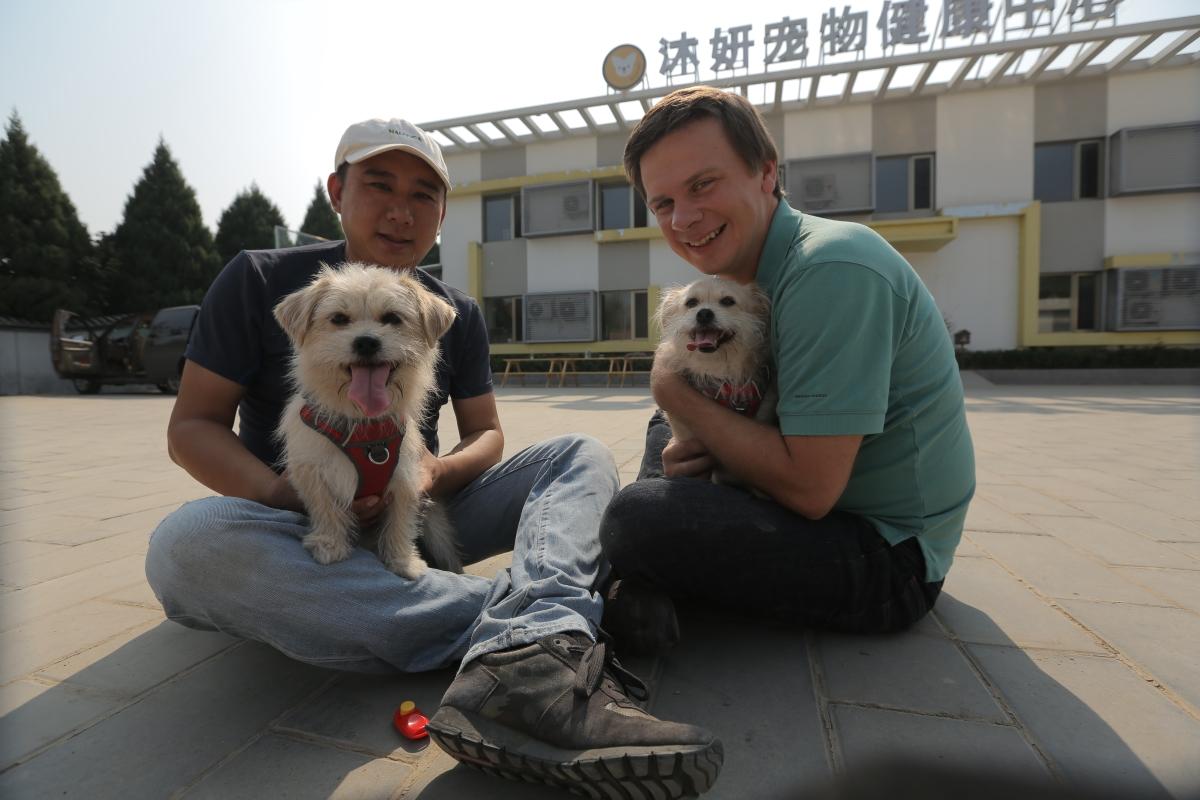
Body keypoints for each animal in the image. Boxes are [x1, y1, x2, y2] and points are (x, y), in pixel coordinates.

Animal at [274, 266, 460, 578]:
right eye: (339, 319)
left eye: (392, 318)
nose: (366, 342)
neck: (363, 424)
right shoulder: (312, 471)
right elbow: (325, 508)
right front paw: (330, 545)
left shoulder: (405, 479)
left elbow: (400, 521)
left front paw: (403, 561)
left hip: (439, 530)